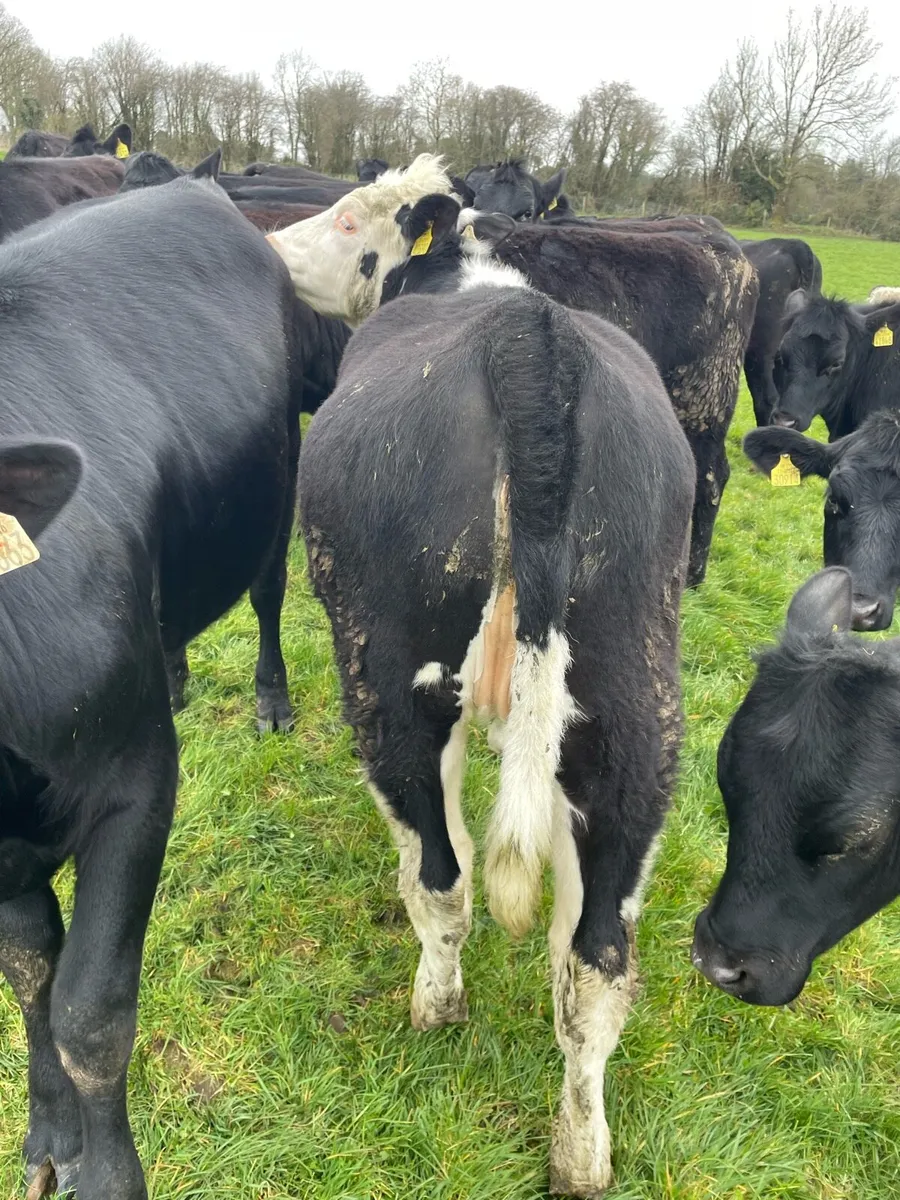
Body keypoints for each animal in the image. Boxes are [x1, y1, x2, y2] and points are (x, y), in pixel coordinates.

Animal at [0, 177, 304, 1199]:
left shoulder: (133, 785)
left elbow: (90, 1010)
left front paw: (109, 1177)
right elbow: (32, 978)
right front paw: (50, 1141)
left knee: (269, 596)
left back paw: (272, 701)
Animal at [267, 161, 755, 586]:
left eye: (347, 223)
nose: (271, 243)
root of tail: (728, 248)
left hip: (705, 409)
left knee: (712, 479)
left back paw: (694, 576)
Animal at [297, 187, 695, 1198]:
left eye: (353, 220)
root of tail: (531, 340)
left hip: (391, 680)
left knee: (444, 875)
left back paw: (435, 1006)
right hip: (633, 709)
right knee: (596, 957)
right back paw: (581, 1153)